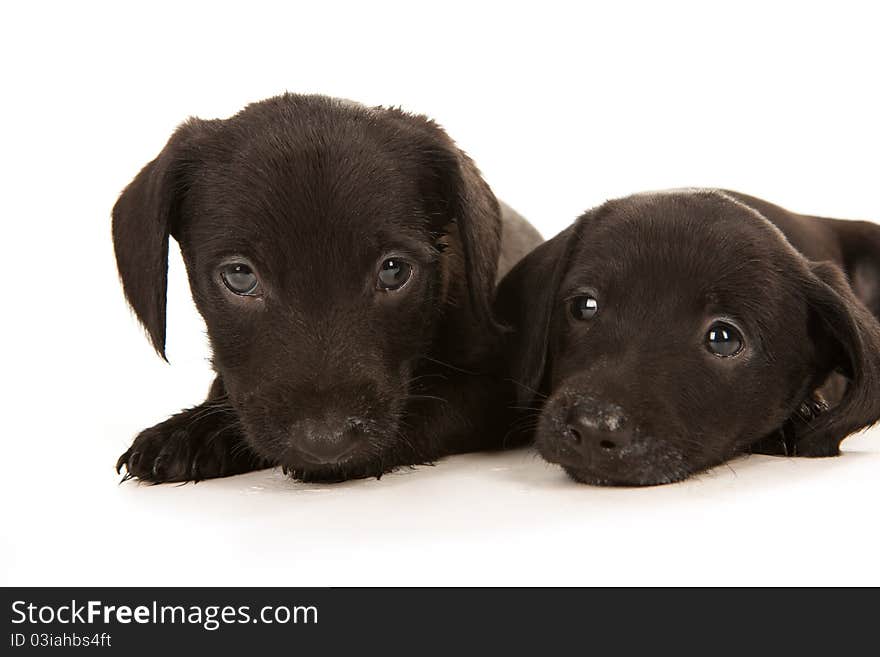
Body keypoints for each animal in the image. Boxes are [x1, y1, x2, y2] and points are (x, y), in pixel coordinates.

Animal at [115, 92, 544, 482]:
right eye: (239, 276)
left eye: (394, 272)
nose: (326, 442)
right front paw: (194, 431)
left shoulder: (496, 388)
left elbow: (441, 401)